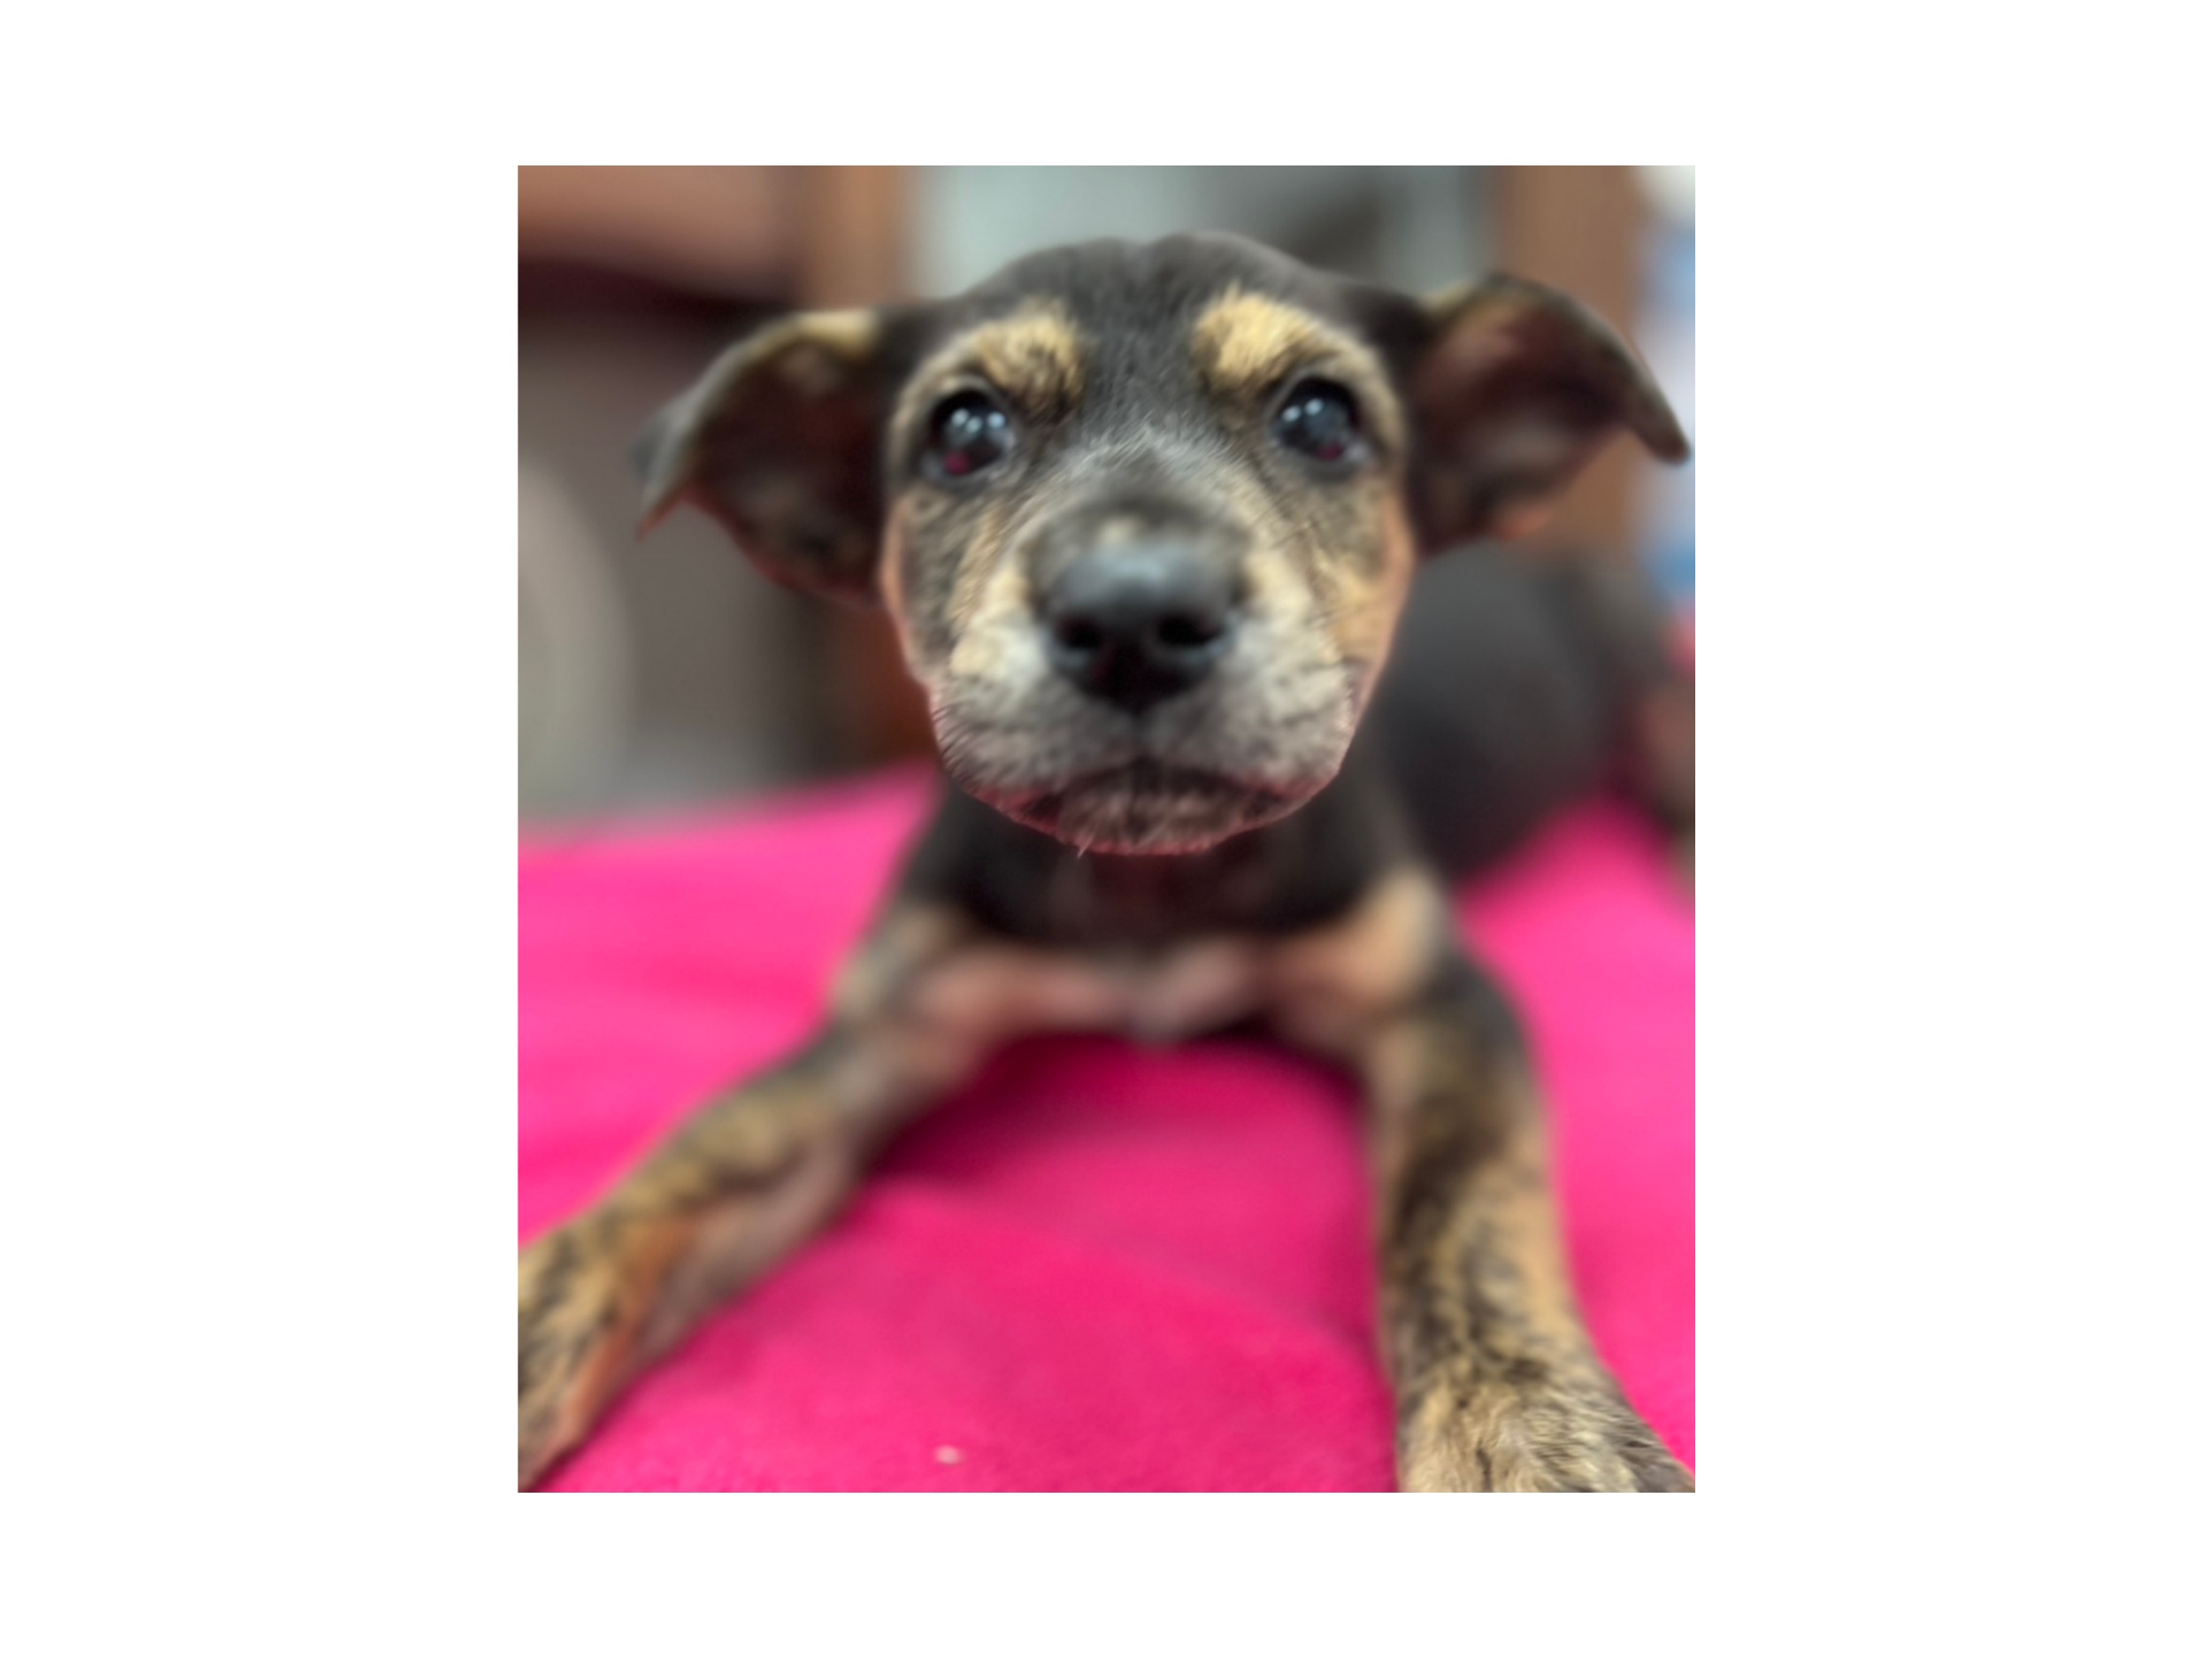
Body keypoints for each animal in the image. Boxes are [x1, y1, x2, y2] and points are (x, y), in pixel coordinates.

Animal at [519, 232, 1695, 1491]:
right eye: (962, 431)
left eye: (1320, 416)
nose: (1134, 617)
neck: (1149, 882)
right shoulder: (888, 1022)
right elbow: (700, 1151)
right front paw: (523, 1334)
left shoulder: (1440, 996)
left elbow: (1467, 1208)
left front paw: (1533, 1434)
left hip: (1623, 628)